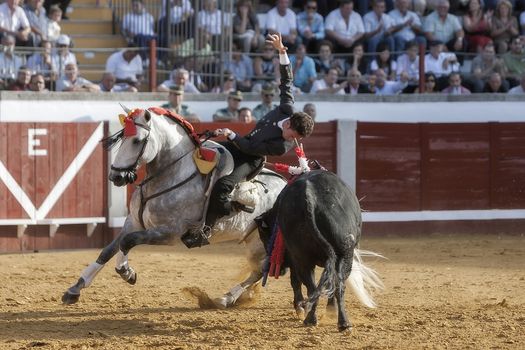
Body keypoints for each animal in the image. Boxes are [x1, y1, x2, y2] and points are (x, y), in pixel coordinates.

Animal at [61, 107, 286, 308]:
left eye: (137, 140)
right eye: (122, 137)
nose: (116, 176)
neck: (170, 175)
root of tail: (287, 184)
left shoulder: (170, 233)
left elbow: (128, 241)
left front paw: (127, 272)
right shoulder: (133, 222)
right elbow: (107, 250)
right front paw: (75, 289)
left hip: (262, 242)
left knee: (262, 269)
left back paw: (227, 298)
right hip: (253, 240)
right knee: (260, 270)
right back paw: (227, 298)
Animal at [256, 170, 378, 330]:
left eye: (265, 237)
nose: (276, 267)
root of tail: (310, 196)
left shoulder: (295, 258)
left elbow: (298, 282)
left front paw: (301, 308)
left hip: (305, 258)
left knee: (318, 286)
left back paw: (321, 319)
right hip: (341, 255)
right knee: (334, 285)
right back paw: (335, 321)